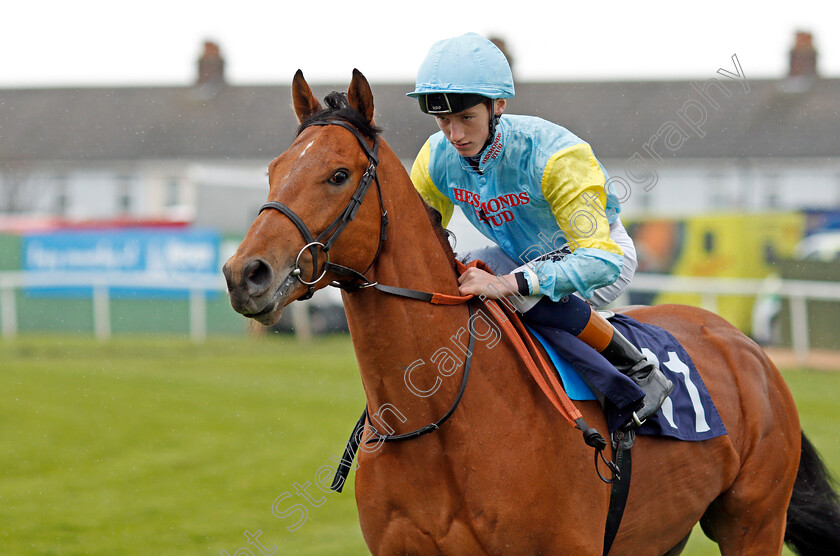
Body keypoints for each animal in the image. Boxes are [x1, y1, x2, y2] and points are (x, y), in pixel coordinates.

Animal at [225, 70, 840, 556]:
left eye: (338, 174)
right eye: (273, 170)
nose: (244, 273)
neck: (438, 418)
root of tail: (745, 345)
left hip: (753, 522)